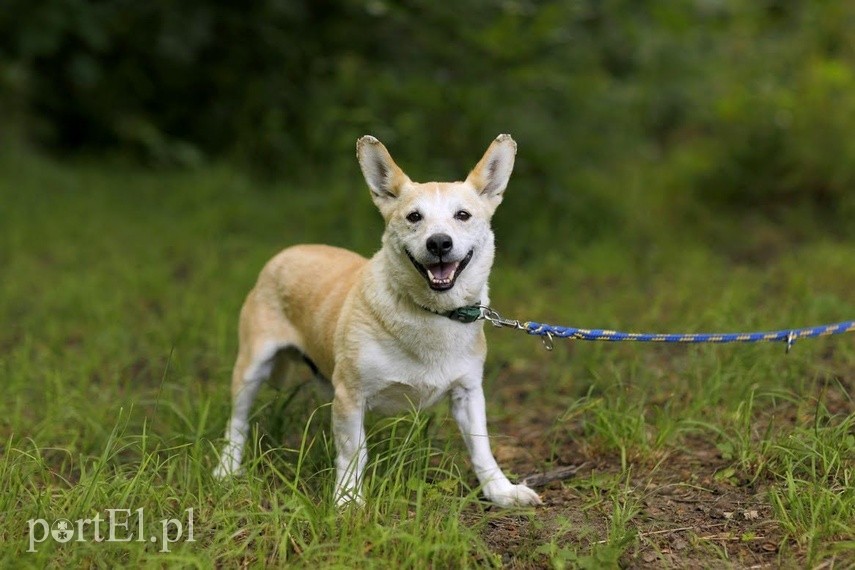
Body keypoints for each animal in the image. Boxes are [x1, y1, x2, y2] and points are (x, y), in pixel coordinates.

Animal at [217, 134, 544, 506]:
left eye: (463, 215)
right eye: (414, 217)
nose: (439, 243)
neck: (433, 313)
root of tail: (288, 252)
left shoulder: (468, 393)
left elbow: (481, 446)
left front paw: (500, 491)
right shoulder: (351, 396)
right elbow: (353, 452)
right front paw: (347, 500)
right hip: (251, 368)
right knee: (237, 422)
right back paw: (227, 468)